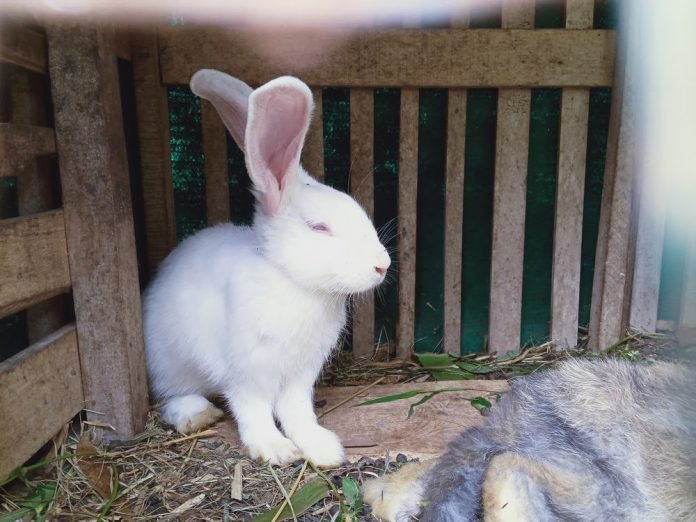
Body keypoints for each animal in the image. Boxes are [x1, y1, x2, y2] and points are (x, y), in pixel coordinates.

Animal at [143, 69, 392, 464]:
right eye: (319, 227)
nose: (382, 265)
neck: (291, 280)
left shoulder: (301, 375)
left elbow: (297, 411)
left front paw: (323, 448)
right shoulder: (246, 373)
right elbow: (254, 410)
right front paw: (276, 449)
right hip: (167, 361)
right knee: (172, 395)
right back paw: (197, 414)